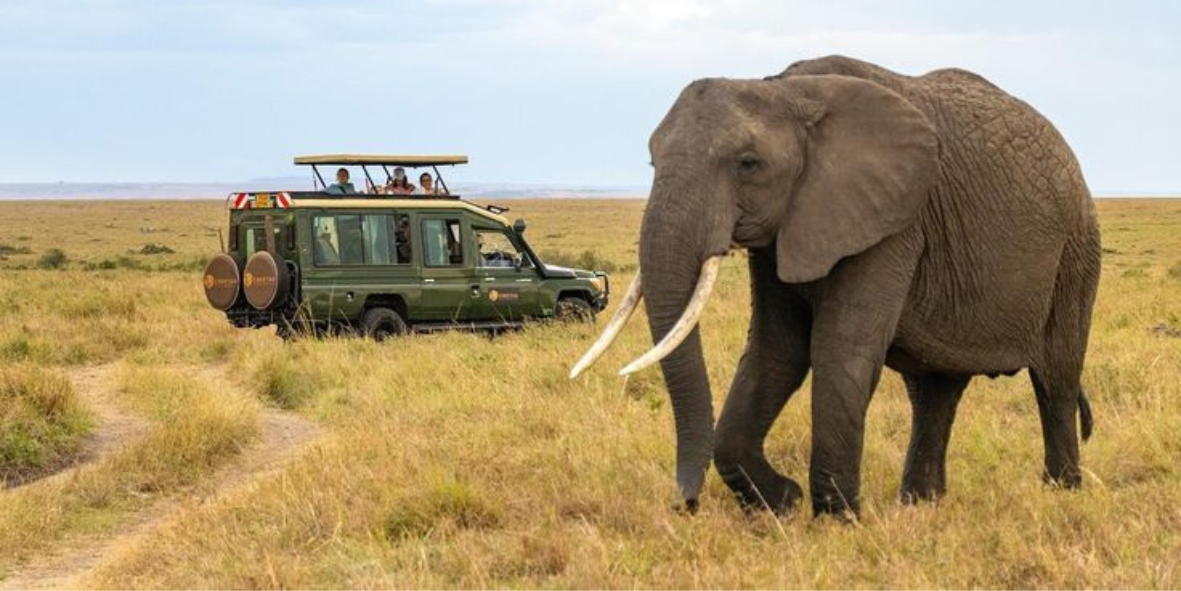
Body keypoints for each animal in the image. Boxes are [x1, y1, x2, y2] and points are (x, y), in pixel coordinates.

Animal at [571, 55, 1101, 517]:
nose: (686, 505)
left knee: (1055, 375)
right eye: (651, 162)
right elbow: (775, 351)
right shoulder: (786, 230)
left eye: (748, 164)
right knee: (934, 389)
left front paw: (836, 518)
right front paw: (783, 502)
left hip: (1076, 248)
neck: (787, 90)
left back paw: (1061, 493)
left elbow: (839, 349)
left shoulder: (892, 221)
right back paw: (921, 505)